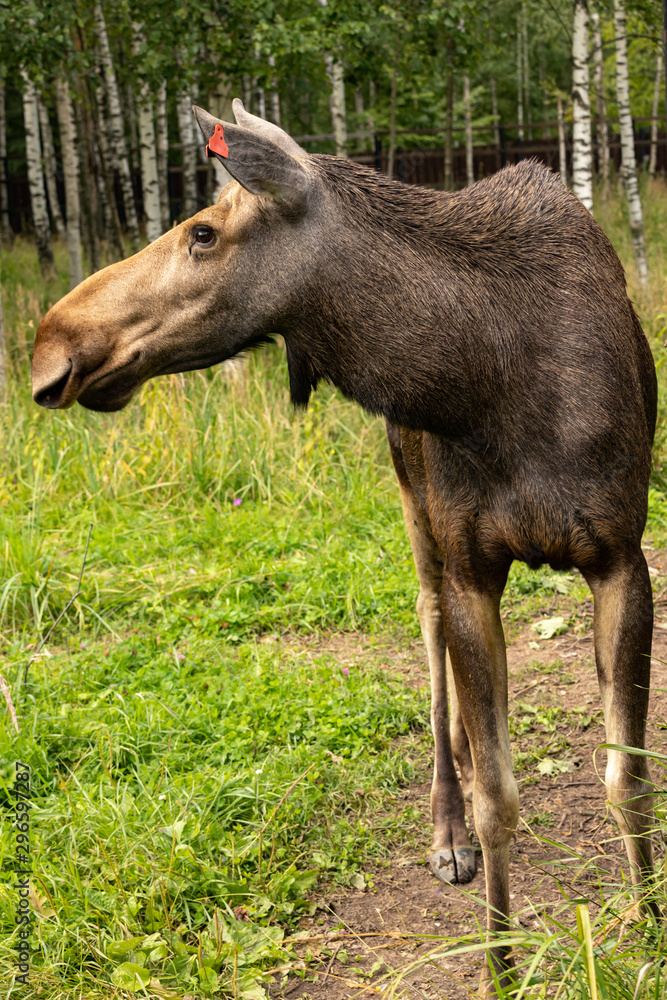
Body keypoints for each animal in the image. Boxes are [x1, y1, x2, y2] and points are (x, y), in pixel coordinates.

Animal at [31, 99, 658, 991]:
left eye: (202, 232)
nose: (52, 340)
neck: (486, 381)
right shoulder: (471, 568)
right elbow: (498, 799)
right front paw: (498, 964)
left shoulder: (620, 557)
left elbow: (626, 775)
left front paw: (646, 927)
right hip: (416, 511)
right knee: (428, 635)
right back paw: (445, 830)